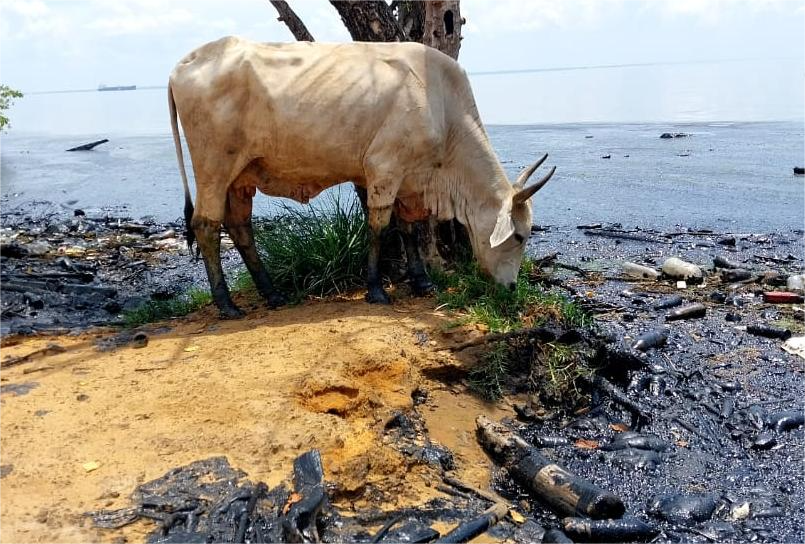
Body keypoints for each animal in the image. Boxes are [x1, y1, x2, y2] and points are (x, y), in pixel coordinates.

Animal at [169, 37, 552, 318]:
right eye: (519, 236)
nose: (512, 288)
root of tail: (183, 64)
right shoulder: (384, 168)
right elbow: (379, 227)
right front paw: (376, 289)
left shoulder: (409, 180)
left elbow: (409, 228)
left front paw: (421, 281)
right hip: (214, 167)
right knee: (206, 225)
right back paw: (227, 304)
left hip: (241, 176)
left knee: (239, 226)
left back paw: (273, 294)